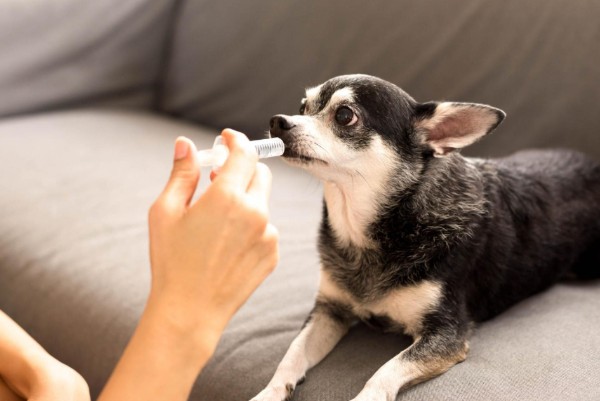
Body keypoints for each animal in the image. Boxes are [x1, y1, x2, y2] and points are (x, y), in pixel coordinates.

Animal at [250, 73, 600, 398]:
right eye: (302, 108)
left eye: (345, 115)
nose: (278, 121)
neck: (371, 232)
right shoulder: (329, 310)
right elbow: (293, 354)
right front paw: (269, 392)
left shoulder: (445, 334)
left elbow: (385, 371)